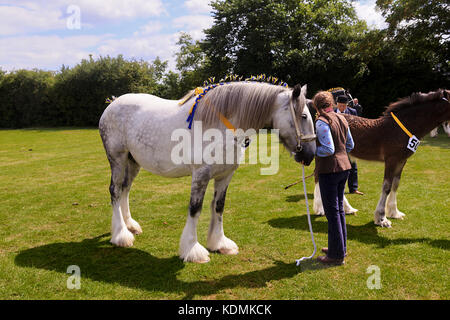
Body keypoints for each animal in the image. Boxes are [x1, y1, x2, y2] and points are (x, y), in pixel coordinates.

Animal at [312, 89, 450, 226]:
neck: (403, 127)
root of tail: (321, 117)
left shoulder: (401, 161)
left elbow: (395, 184)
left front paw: (394, 212)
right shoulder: (391, 161)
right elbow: (387, 186)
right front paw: (382, 218)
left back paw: (348, 209)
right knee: (318, 176)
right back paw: (320, 209)